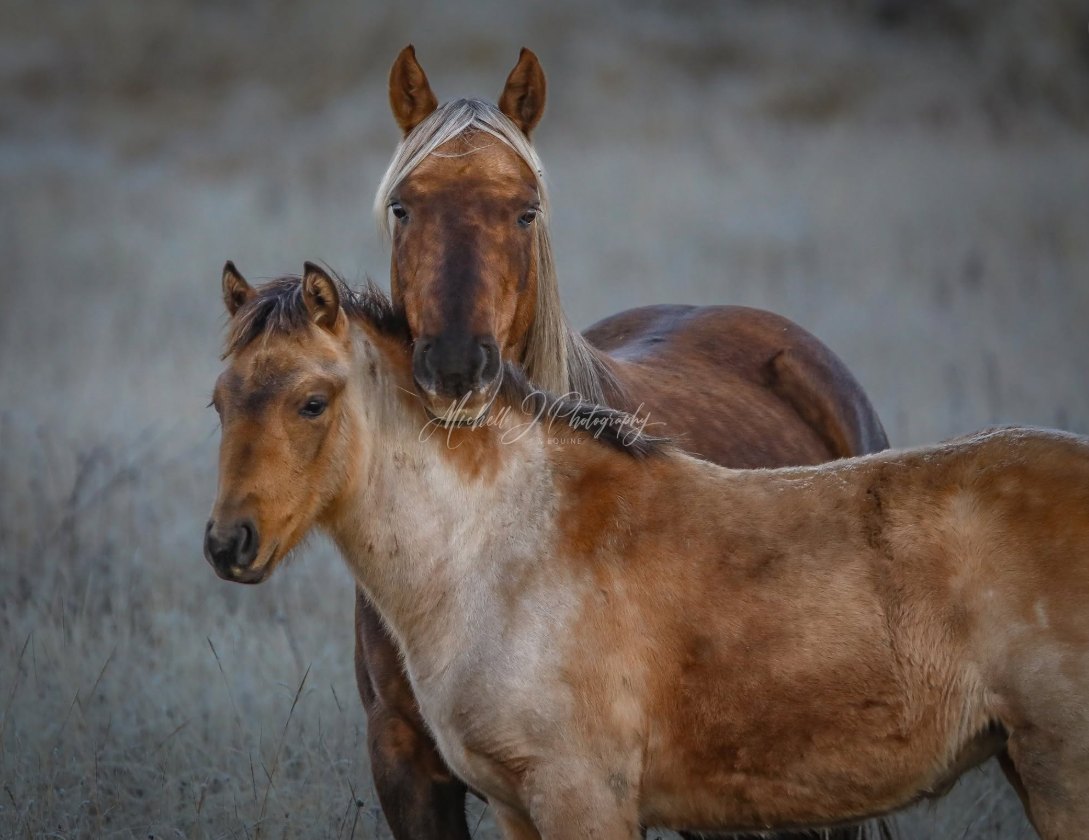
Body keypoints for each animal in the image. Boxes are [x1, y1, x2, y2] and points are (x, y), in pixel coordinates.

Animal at [206, 266, 1089, 840]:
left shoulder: (580, 798)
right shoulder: (513, 807)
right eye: (219, 402)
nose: (227, 543)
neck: (505, 550)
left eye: (312, 402)